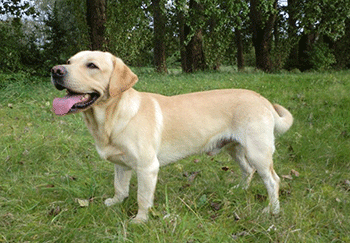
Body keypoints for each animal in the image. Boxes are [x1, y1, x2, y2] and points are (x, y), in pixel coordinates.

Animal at [50, 50, 294, 223]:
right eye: (69, 61)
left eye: (92, 65)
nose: (55, 70)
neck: (111, 118)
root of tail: (263, 99)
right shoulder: (121, 165)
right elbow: (120, 188)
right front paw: (115, 203)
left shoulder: (147, 168)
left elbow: (142, 198)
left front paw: (140, 220)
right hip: (234, 149)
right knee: (247, 171)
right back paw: (239, 190)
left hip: (258, 152)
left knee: (273, 181)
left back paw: (272, 210)